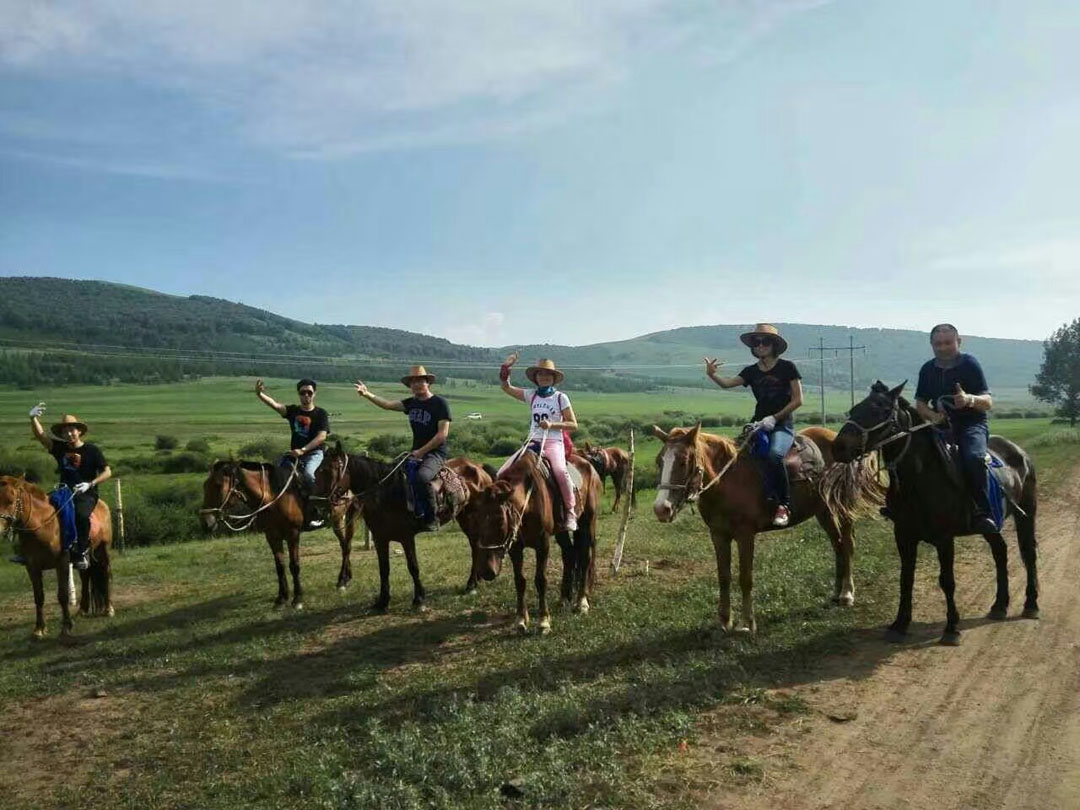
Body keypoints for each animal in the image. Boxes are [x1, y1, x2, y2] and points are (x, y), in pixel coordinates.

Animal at [0, 475, 113, 639]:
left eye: (10, 500)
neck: (43, 526)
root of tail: (102, 504)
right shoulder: (32, 567)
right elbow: (38, 597)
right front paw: (39, 629)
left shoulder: (62, 563)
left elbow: (63, 595)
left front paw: (66, 627)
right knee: (85, 577)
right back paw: (82, 610)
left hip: (103, 550)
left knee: (105, 574)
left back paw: (108, 609)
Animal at [204, 462, 365, 609]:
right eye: (205, 485)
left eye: (218, 485)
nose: (207, 521)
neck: (274, 498)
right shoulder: (272, 536)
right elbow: (279, 566)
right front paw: (281, 599)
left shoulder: (292, 534)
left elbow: (294, 565)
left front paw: (298, 598)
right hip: (337, 521)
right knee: (344, 545)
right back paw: (346, 578)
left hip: (348, 517)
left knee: (347, 546)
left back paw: (341, 581)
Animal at [466, 451, 604, 635]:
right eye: (476, 520)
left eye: (500, 521)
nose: (486, 571)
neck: (528, 502)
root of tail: (589, 465)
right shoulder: (515, 548)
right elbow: (520, 581)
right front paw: (521, 620)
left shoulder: (542, 545)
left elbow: (540, 580)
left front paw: (543, 621)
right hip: (562, 531)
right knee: (569, 554)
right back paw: (564, 598)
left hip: (588, 522)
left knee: (585, 558)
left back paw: (582, 601)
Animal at [652, 425, 881, 635]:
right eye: (659, 461)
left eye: (684, 461)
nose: (661, 509)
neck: (727, 481)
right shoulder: (718, 535)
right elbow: (723, 576)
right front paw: (725, 620)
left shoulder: (745, 535)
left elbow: (745, 578)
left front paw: (746, 623)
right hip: (823, 511)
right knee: (837, 546)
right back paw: (836, 593)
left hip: (841, 508)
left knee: (847, 545)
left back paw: (847, 594)